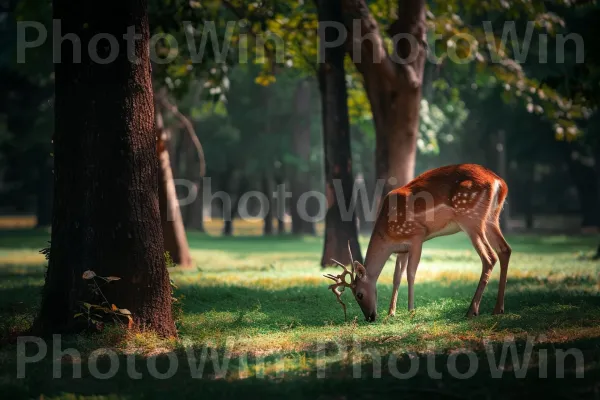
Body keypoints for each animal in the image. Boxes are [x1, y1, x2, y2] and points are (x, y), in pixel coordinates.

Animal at [326, 164, 512, 324]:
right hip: (491, 218)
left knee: (489, 257)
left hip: (470, 218)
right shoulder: (402, 249)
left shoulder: (417, 236)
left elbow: (411, 273)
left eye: (359, 294)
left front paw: (410, 311)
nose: (370, 317)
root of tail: (499, 183)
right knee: (505, 250)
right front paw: (391, 313)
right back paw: (498, 309)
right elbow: (396, 277)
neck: (388, 234)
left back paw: (472, 311)